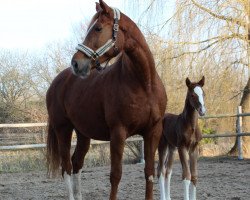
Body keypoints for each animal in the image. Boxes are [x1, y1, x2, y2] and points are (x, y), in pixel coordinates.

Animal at [45, 0, 166, 199]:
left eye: (98, 28)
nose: (76, 63)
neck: (144, 84)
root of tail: (56, 82)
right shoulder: (118, 133)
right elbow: (115, 175)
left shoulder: (153, 131)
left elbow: (149, 172)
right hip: (63, 129)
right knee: (67, 167)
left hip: (83, 133)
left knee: (76, 163)